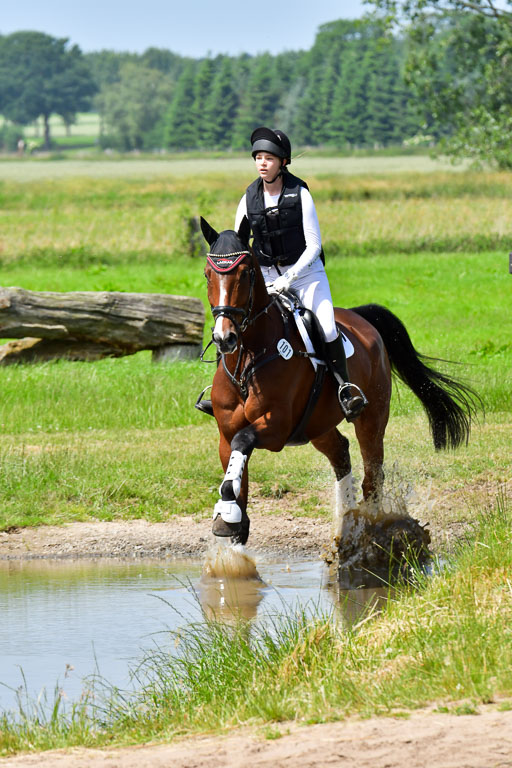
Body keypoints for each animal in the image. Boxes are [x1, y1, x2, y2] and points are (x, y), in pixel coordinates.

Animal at [200, 216, 479, 549]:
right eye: (207, 275)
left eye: (245, 273)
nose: (224, 338)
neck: (248, 361)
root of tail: (363, 320)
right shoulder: (226, 431)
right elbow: (236, 474)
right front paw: (230, 519)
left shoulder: (277, 425)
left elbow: (243, 443)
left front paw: (227, 509)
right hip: (316, 425)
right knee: (341, 454)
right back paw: (346, 525)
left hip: (371, 418)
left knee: (373, 474)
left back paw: (368, 530)